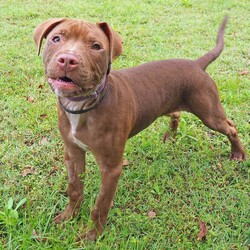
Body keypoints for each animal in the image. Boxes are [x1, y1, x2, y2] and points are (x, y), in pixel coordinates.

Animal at [33, 17, 246, 240]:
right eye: (56, 39)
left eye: (96, 46)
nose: (67, 59)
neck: (81, 105)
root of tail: (196, 64)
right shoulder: (73, 153)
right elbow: (74, 189)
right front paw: (68, 217)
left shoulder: (111, 168)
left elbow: (101, 204)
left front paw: (92, 235)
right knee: (176, 113)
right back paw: (170, 136)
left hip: (209, 113)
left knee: (231, 127)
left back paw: (238, 153)